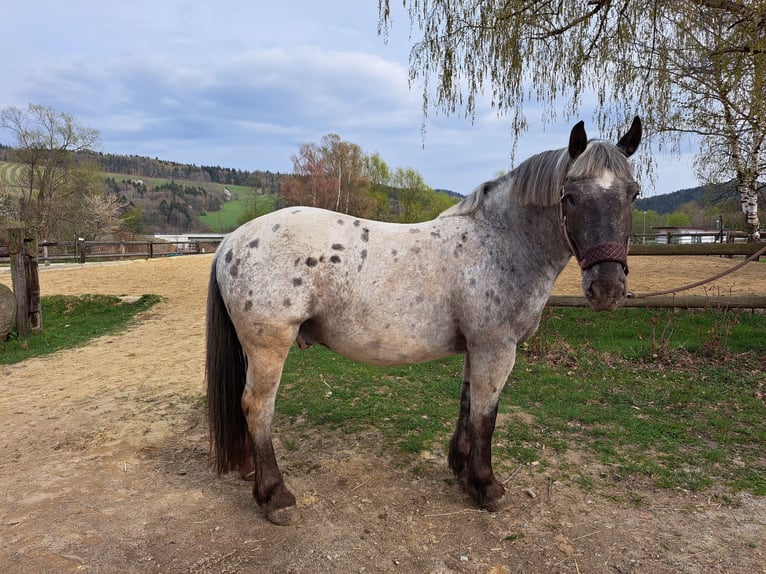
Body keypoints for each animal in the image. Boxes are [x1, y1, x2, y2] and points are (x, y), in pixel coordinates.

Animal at [206, 117, 642, 525]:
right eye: (570, 196)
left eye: (633, 193)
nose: (607, 288)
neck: (500, 242)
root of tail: (231, 242)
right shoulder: (496, 348)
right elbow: (487, 416)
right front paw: (487, 486)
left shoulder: (477, 348)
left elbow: (468, 405)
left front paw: (464, 472)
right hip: (268, 346)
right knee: (257, 408)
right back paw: (276, 497)